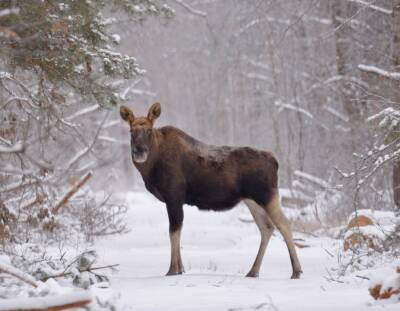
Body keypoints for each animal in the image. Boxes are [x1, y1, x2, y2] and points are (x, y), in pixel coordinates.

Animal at [120, 103, 302, 280]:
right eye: (131, 131)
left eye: (149, 130)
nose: (139, 151)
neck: (151, 168)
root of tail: (275, 161)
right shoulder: (176, 200)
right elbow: (178, 232)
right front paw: (181, 269)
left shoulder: (174, 196)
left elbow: (174, 232)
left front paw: (173, 269)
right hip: (252, 200)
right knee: (267, 227)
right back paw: (253, 271)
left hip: (267, 196)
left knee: (284, 225)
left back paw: (296, 271)